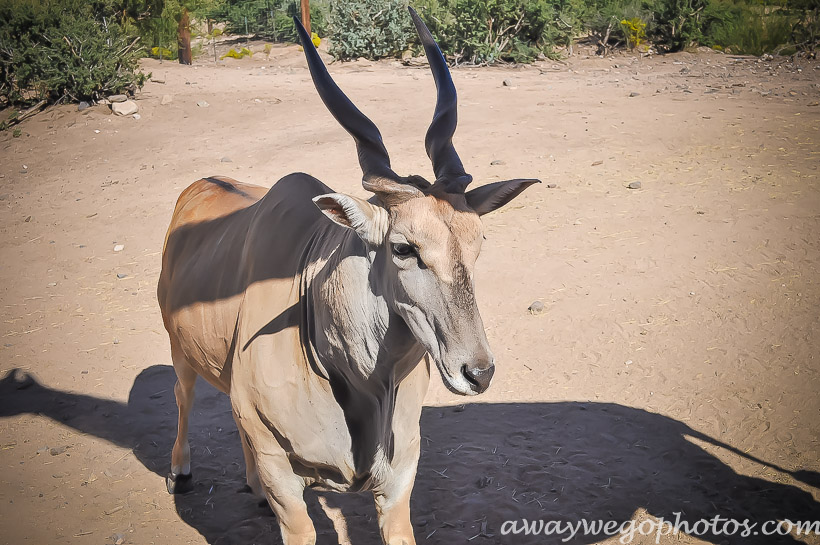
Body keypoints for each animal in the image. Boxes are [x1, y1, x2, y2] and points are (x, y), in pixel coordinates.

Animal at [158, 9, 540, 544]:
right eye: (404, 248)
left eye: (477, 244)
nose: (478, 372)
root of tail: (196, 188)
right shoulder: (285, 481)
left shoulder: (397, 483)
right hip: (179, 350)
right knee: (183, 394)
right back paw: (181, 472)